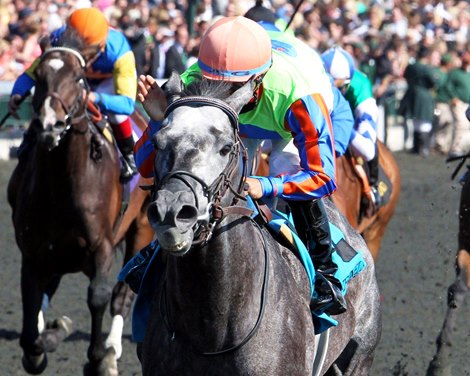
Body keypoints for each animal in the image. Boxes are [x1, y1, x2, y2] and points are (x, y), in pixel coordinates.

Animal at [6, 33, 152, 374]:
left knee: (122, 294)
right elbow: (31, 315)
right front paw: (46, 339)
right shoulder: (34, 252)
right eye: (39, 76)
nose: (51, 125)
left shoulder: (102, 246)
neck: (62, 185)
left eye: (78, 77)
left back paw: (113, 347)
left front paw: (99, 357)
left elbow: (98, 296)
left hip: (141, 228)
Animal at [140, 73, 382, 376]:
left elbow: (318, 172)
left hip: (359, 355)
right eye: (157, 142)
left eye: (226, 148)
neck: (210, 328)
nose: (172, 213)